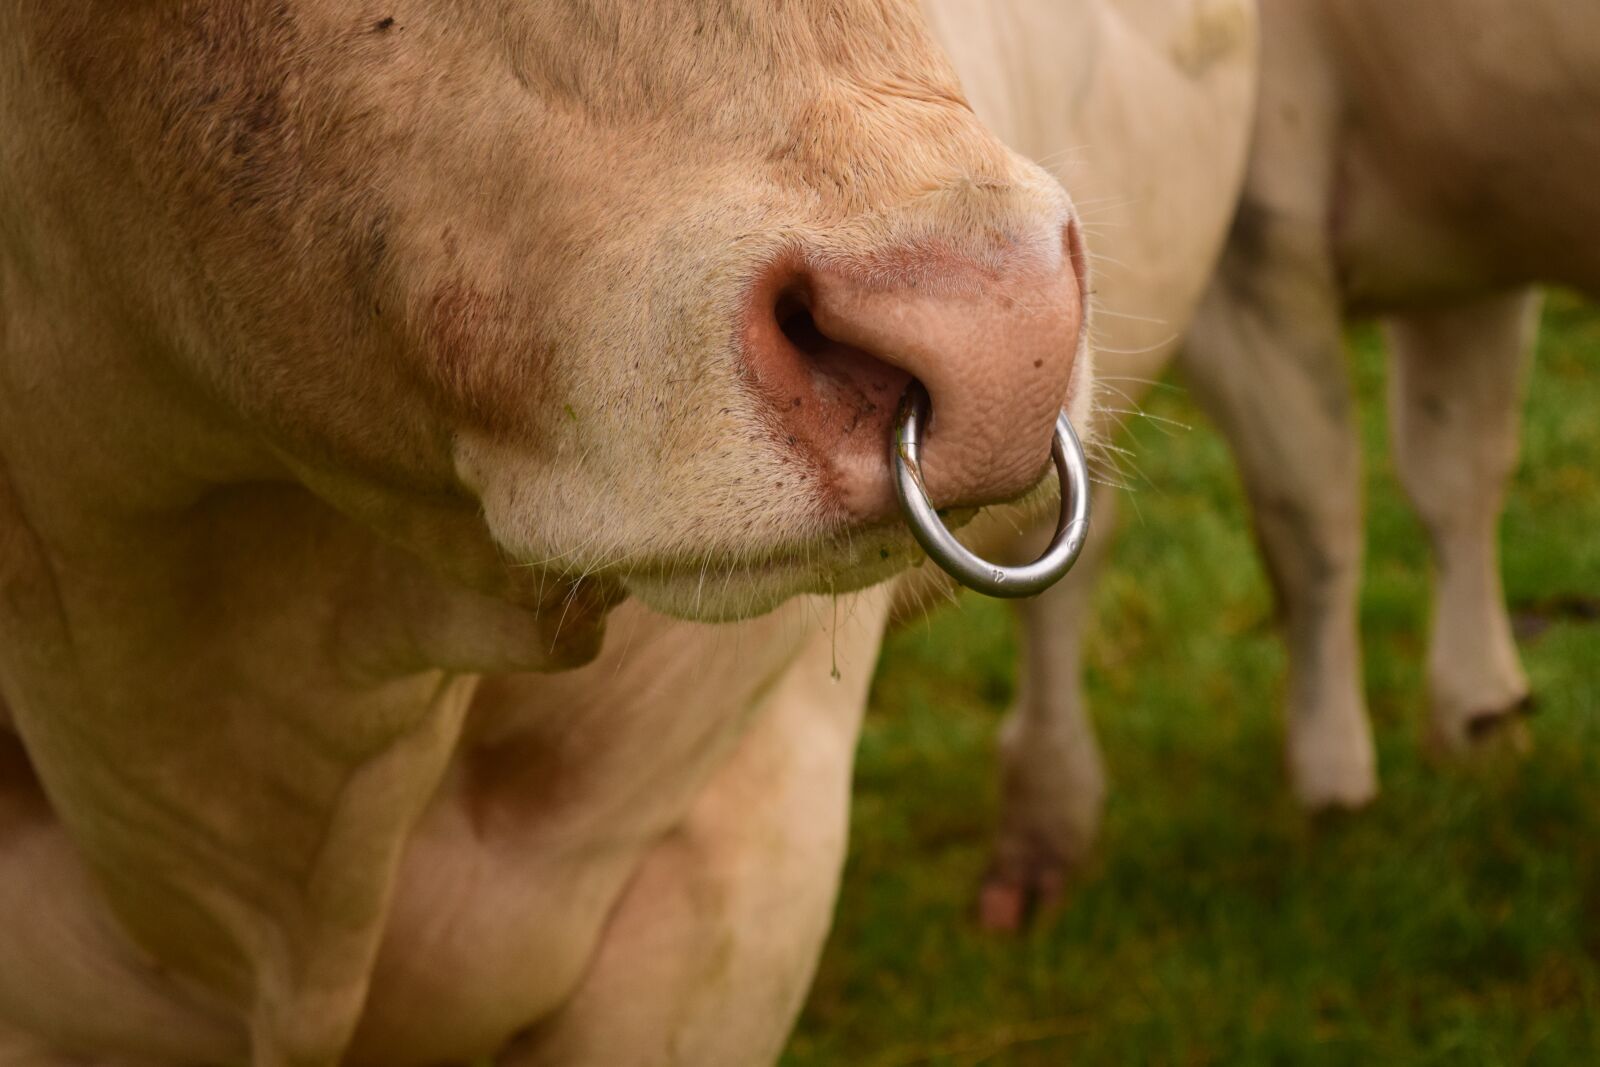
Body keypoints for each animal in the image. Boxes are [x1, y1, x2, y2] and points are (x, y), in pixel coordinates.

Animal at [980, 0, 1600, 929]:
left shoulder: (1244, 238)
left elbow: (1310, 510)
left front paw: (1332, 777)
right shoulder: (1475, 229)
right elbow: (1457, 467)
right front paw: (1481, 714)